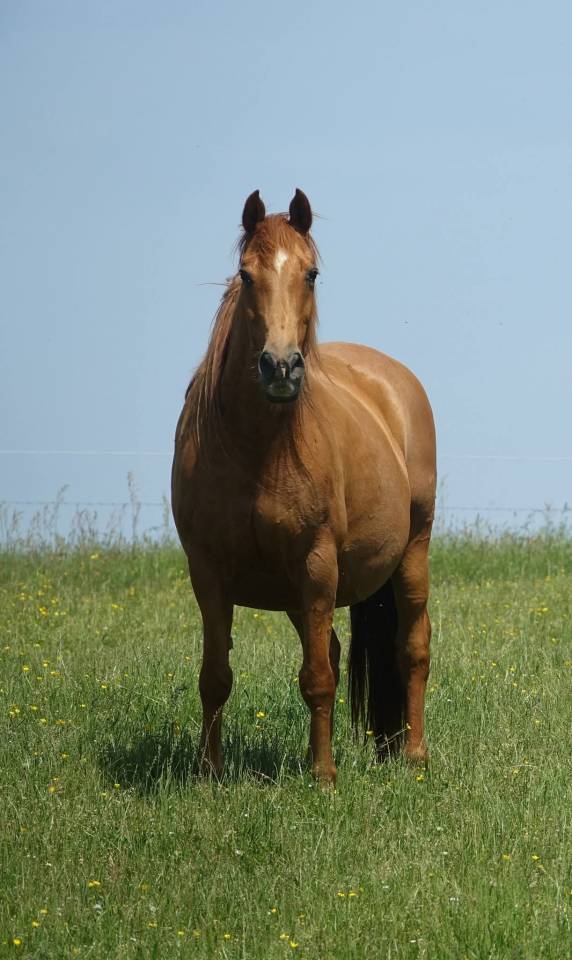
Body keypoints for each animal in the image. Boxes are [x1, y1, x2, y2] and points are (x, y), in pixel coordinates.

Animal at [171, 189, 436, 785]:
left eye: (311, 274)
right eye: (246, 276)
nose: (280, 367)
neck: (256, 449)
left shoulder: (316, 565)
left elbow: (316, 678)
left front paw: (323, 777)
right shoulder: (208, 572)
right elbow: (215, 676)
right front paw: (209, 772)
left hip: (412, 551)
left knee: (412, 646)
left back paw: (413, 754)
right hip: (297, 593)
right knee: (335, 650)